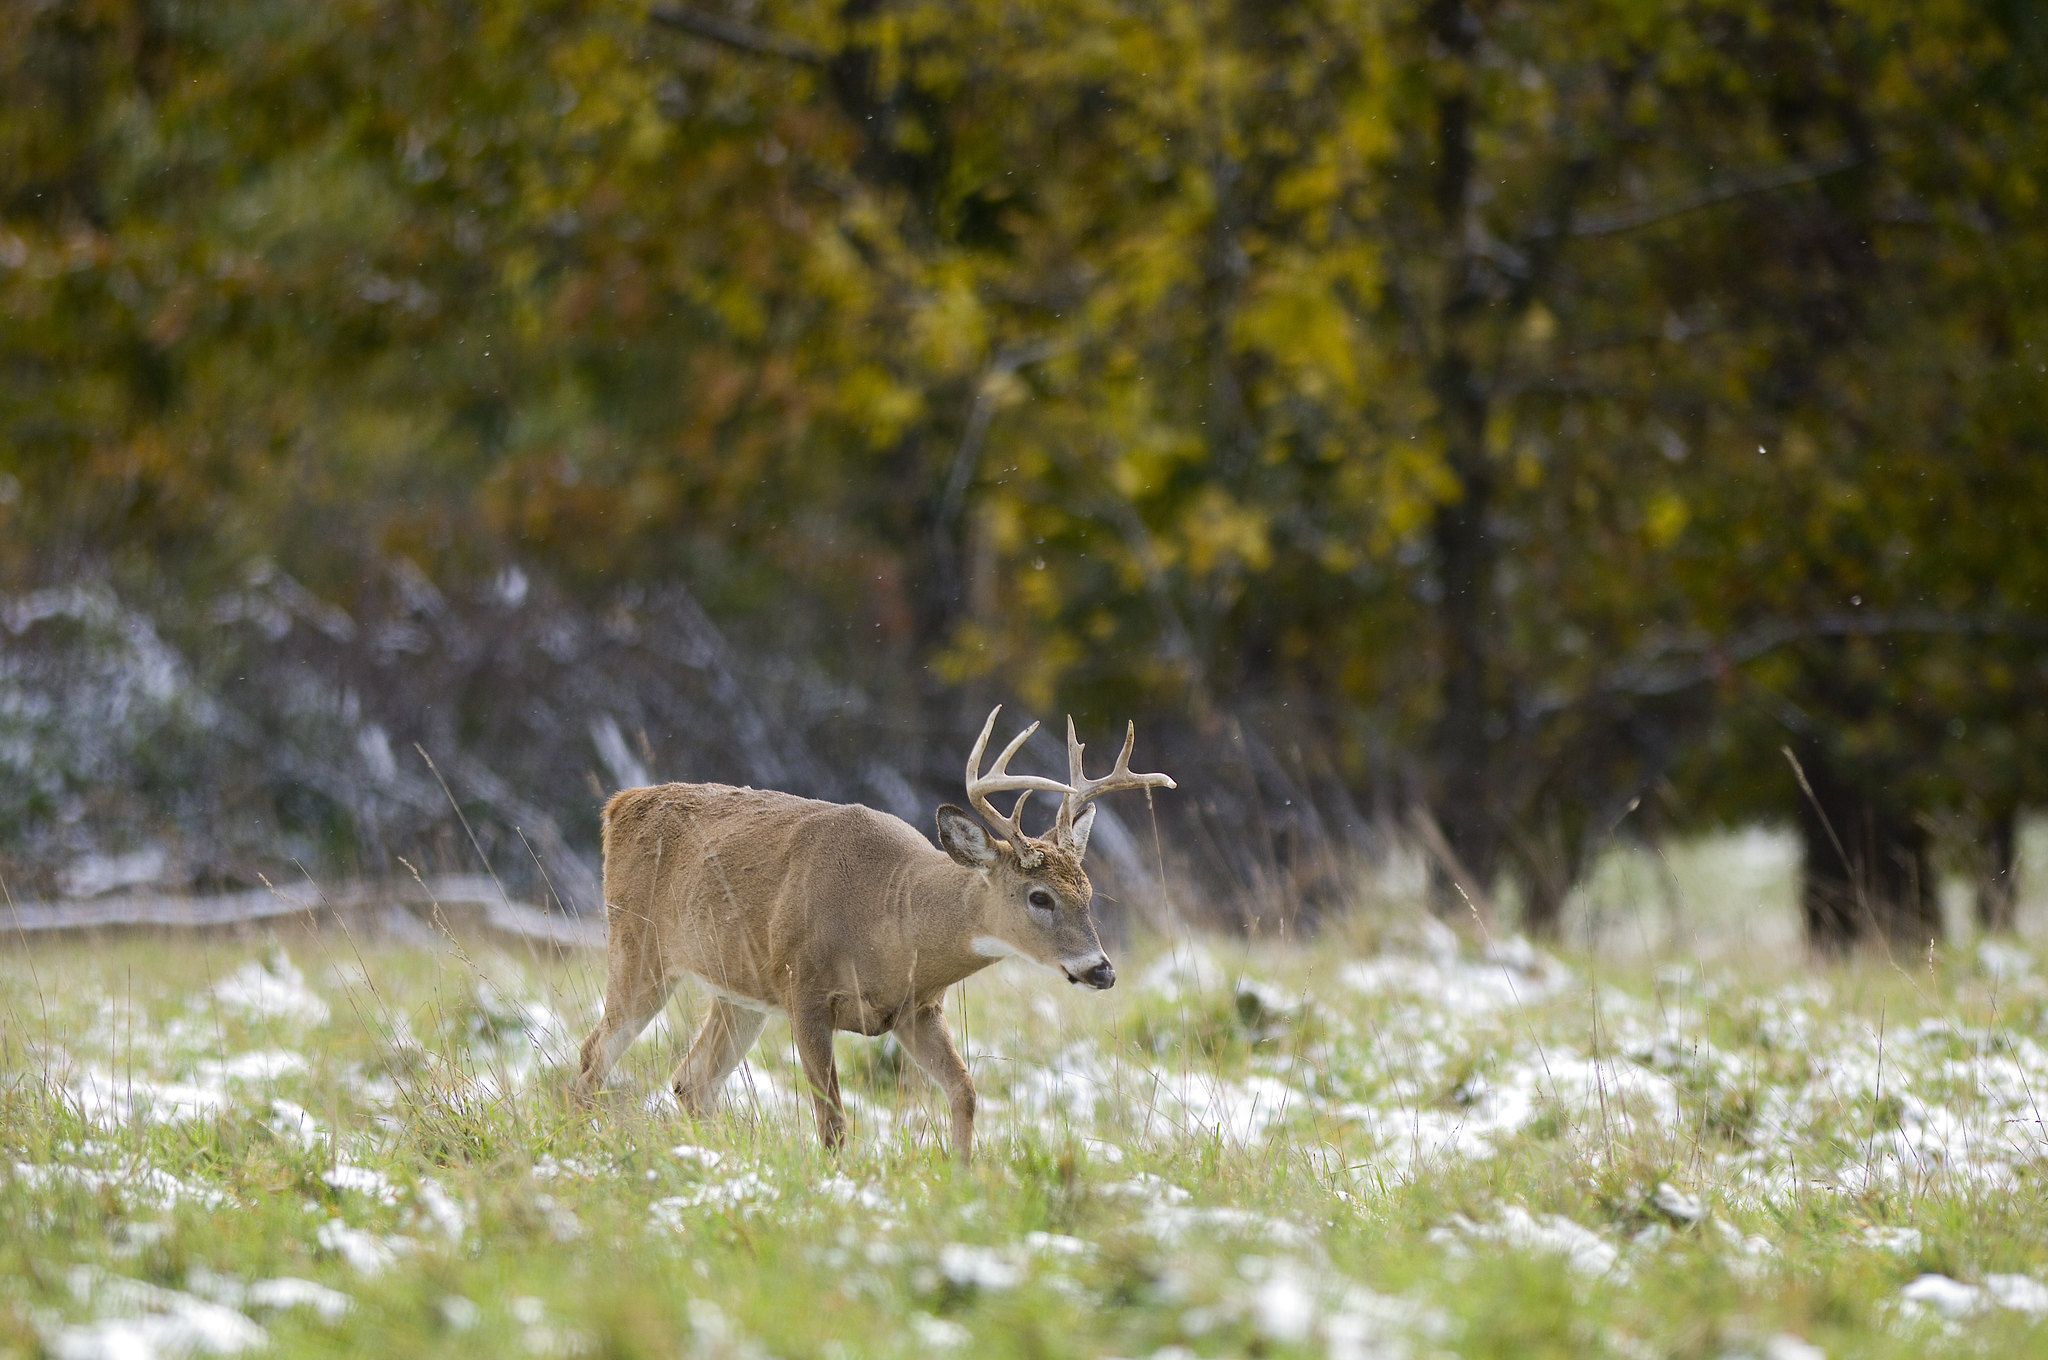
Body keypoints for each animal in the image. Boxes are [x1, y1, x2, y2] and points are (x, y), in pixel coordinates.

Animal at [569, 704, 1179, 1163]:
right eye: (1039, 897)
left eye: (1089, 891)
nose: (1101, 970)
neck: (890, 919)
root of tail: (617, 805)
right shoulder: (806, 991)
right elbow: (834, 1121)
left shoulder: (916, 1009)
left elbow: (964, 1092)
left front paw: (962, 1176)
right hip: (638, 947)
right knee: (594, 1053)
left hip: (738, 991)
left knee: (689, 1079)